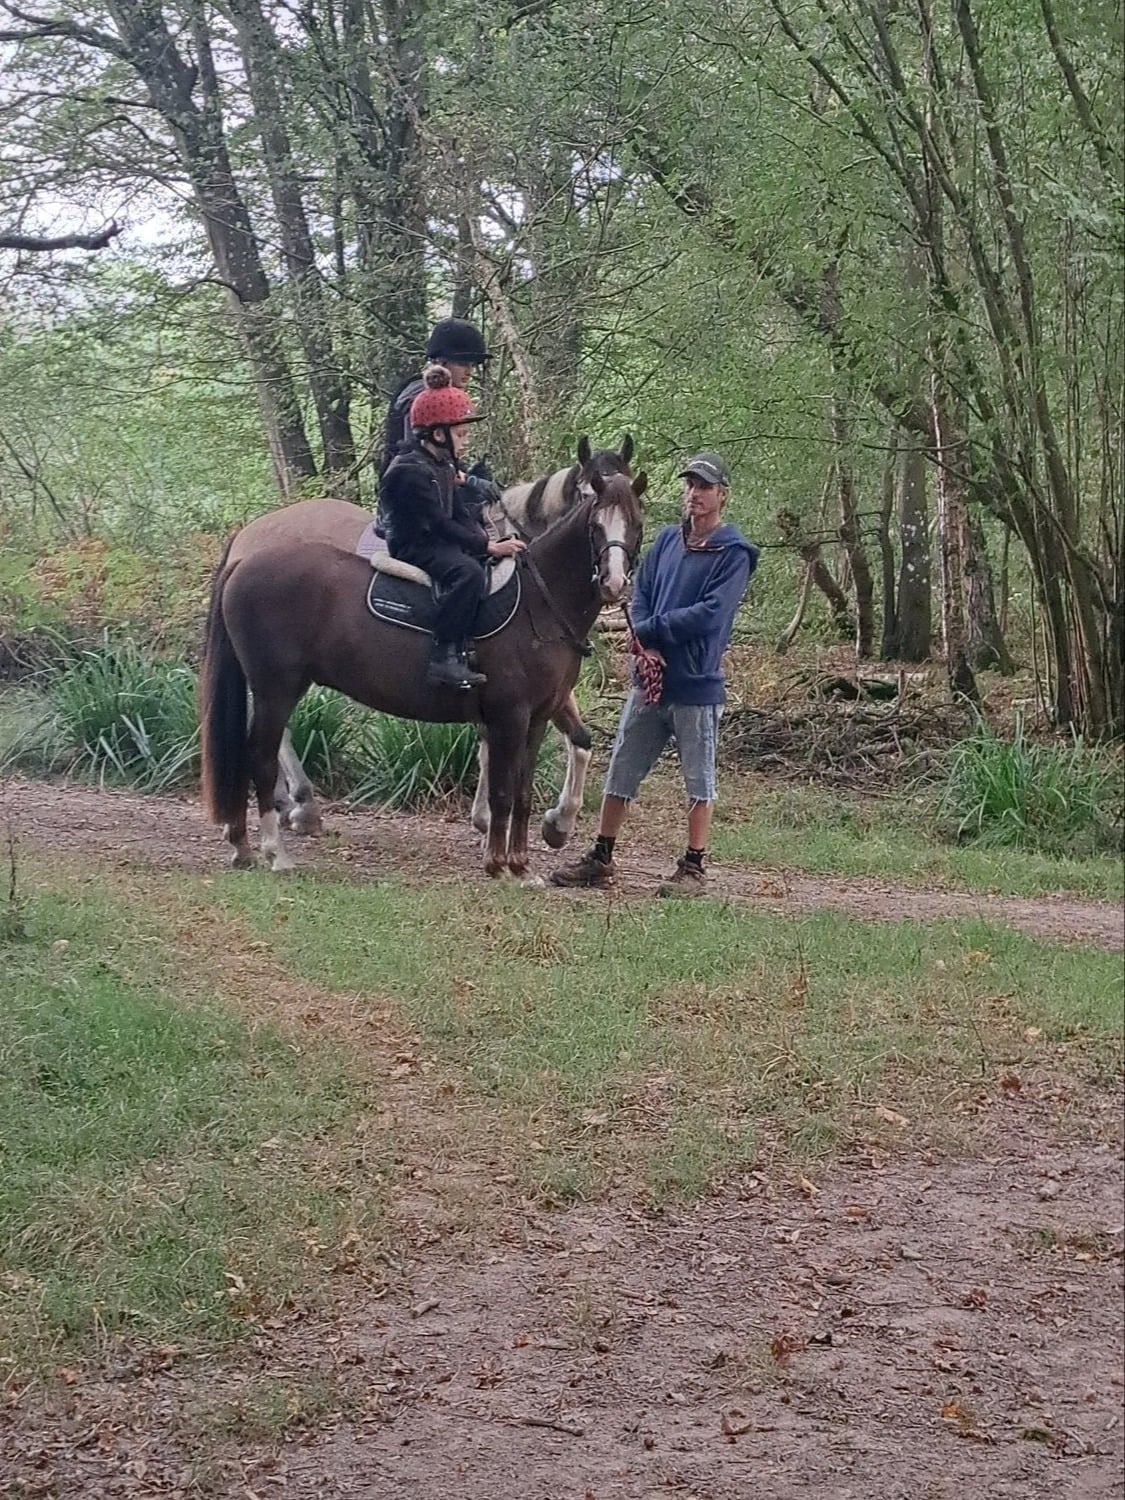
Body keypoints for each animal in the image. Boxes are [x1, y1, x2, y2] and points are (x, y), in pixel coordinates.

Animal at [199, 470, 646, 879]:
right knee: (260, 756)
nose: (614, 582)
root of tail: (245, 556)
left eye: (637, 524)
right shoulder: (510, 715)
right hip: (276, 688)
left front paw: (522, 862)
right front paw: (498, 862)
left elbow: (525, 787)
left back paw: (243, 843)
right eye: (594, 524)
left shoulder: (536, 717)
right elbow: (502, 788)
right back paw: (276, 848)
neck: (537, 603)